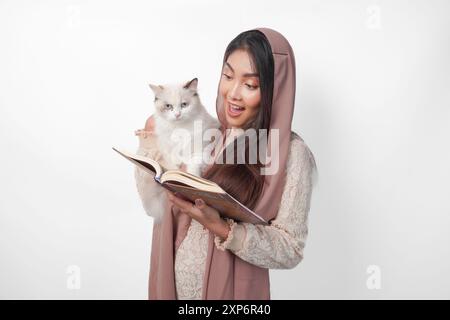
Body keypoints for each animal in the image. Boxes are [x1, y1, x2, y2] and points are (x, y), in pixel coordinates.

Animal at [134, 78, 221, 222]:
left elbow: (193, 168)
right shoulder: (167, 149)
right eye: (168, 106)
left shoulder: (200, 148)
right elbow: (172, 163)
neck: (180, 129)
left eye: (184, 105)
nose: (177, 114)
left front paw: (190, 181)